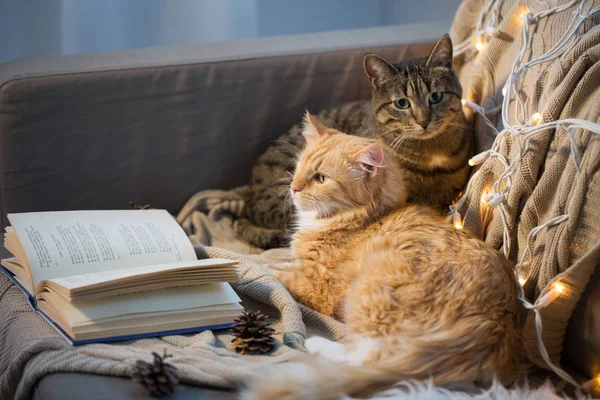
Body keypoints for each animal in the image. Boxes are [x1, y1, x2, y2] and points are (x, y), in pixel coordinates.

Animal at [244, 112, 524, 400]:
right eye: (299, 167)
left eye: (320, 178)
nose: (294, 187)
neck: (361, 219)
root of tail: (492, 324)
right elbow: (278, 262)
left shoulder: (318, 287)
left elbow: (270, 271)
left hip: (369, 295)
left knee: (368, 357)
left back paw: (316, 345)